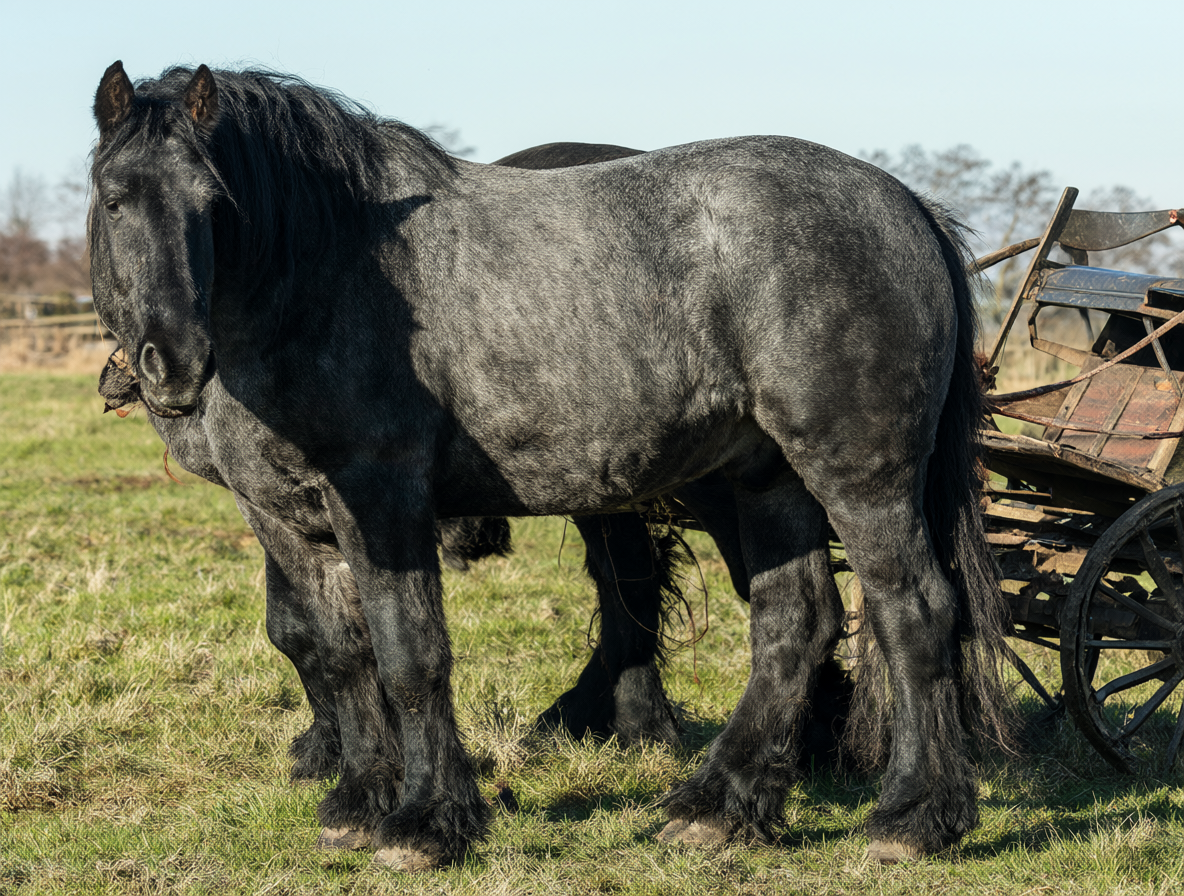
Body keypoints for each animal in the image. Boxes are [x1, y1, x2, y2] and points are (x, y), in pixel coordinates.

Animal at [88, 61, 1010, 869]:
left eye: (216, 203)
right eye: (114, 198)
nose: (171, 361)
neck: (325, 277)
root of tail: (905, 203)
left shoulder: (381, 502)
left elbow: (409, 655)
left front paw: (427, 822)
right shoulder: (283, 517)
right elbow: (336, 651)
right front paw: (357, 800)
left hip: (857, 478)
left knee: (913, 613)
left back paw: (914, 816)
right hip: (766, 479)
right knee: (795, 622)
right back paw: (720, 805)